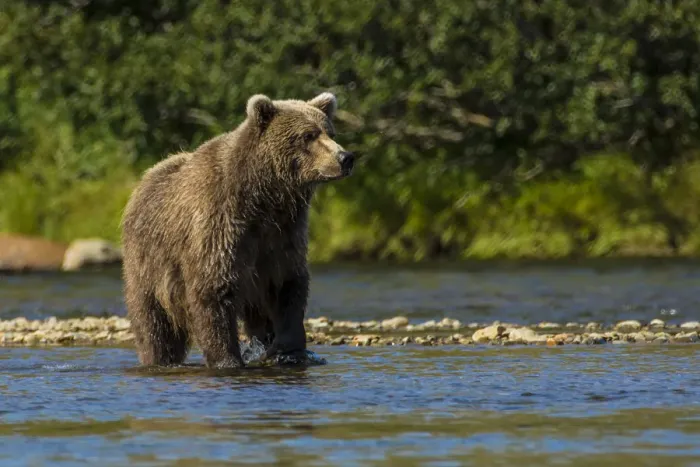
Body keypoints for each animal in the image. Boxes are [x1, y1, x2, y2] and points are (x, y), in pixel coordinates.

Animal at [120, 92, 354, 368]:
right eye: (308, 135)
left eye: (331, 132)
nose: (345, 158)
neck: (264, 198)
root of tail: (144, 180)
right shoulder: (220, 225)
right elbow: (213, 289)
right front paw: (227, 359)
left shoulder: (283, 235)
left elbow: (288, 286)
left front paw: (289, 351)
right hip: (150, 262)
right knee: (154, 323)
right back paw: (159, 357)